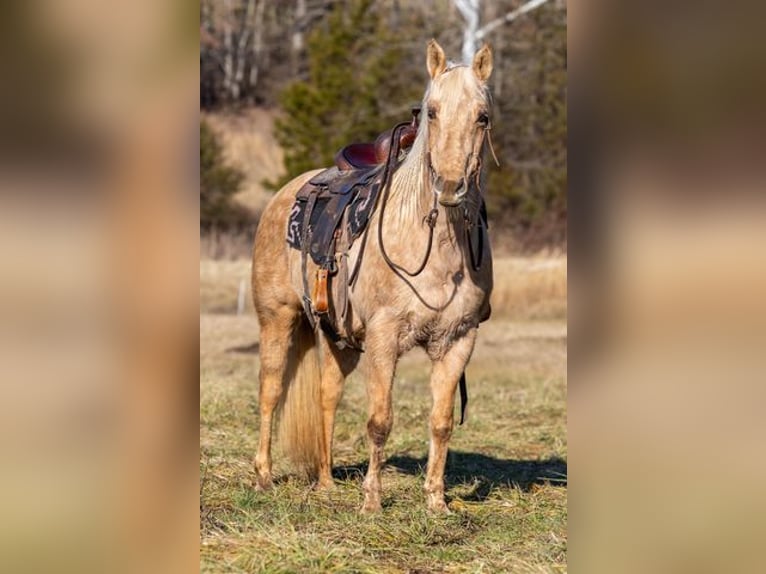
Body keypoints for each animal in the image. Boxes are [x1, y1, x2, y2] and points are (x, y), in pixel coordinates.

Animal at [249, 42, 496, 516]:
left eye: (482, 116)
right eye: (432, 112)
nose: (450, 187)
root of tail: (285, 194)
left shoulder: (459, 339)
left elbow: (441, 423)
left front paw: (436, 502)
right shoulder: (384, 337)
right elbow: (380, 421)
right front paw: (371, 503)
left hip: (339, 338)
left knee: (327, 396)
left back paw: (326, 483)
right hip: (277, 319)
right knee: (270, 392)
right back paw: (263, 476)